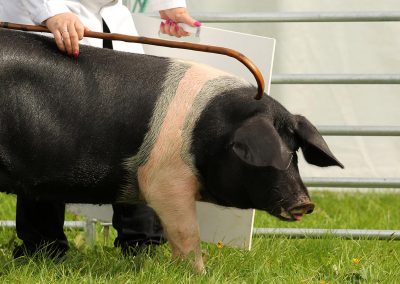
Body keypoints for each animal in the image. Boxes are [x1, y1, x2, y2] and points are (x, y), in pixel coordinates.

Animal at [0, 29, 344, 272]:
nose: (305, 202)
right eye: (271, 155)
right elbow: (186, 232)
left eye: (295, 154)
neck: (207, 134)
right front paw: (198, 273)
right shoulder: (163, 179)